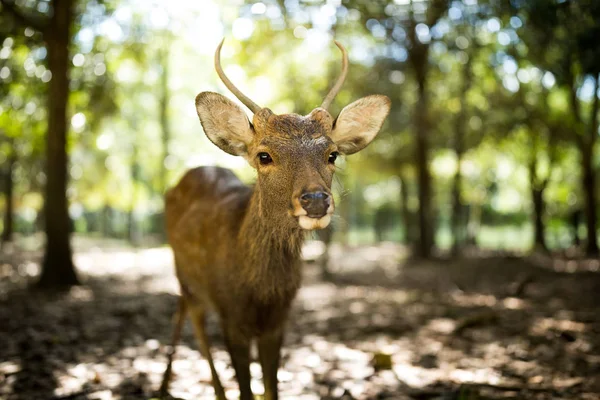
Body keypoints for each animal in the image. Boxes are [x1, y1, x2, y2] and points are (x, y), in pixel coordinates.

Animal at [159, 39, 392, 400]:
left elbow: (270, 388)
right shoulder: (231, 318)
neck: (260, 292)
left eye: (332, 154)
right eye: (264, 155)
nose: (315, 201)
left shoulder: (279, 322)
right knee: (194, 322)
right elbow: (245, 389)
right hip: (184, 276)